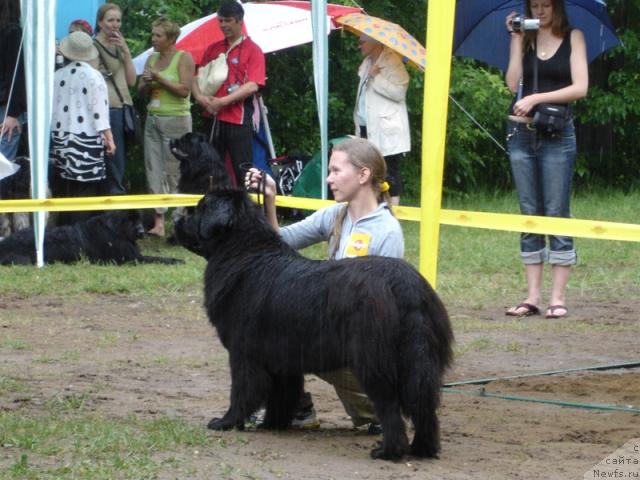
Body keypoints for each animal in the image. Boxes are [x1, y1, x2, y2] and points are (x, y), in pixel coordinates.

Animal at [0, 209, 185, 266]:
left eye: (138, 219)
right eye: (129, 220)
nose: (141, 231)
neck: (115, 229)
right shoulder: (131, 258)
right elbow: (157, 258)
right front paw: (177, 260)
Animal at [175, 188, 456, 462]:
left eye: (199, 209)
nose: (177, 216)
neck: (243, 254)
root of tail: (404, 285)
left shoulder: (243, 353)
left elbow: (241, 391)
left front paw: (227, 422)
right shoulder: (280, 358)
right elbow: (281, 394)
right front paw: (272, 424)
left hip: (374, 362)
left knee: (389, 407)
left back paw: (388, 452)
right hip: (418, 361)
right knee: (424, 406)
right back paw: (422, 449)